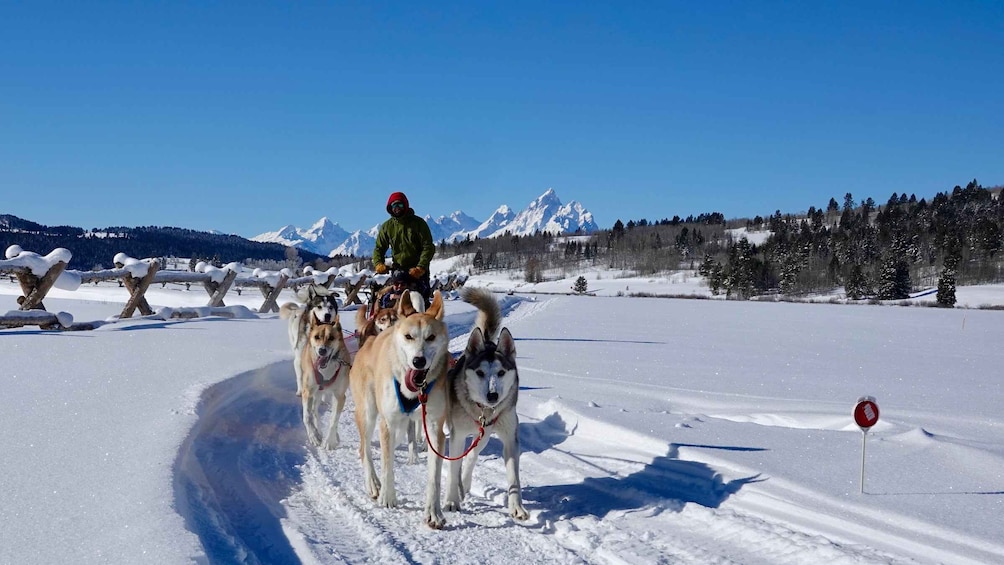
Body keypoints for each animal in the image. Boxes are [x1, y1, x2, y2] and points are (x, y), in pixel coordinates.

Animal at [293, 311, 353, 449]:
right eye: (316, 337)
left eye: (331, 338)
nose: (322, 350)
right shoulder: (307, 392)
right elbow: (307, 417)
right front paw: (313, 436)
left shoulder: (339, 396)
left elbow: (333, 419)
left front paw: (330, 440)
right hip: (315, 393)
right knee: (314, 411)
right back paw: (317, 431)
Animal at [351, 291, 449, 529]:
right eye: (408, 336)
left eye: (431, 337)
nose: (419, 360)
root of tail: (369, 341)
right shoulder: (387, 423)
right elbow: (387, 465)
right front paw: (387, 497)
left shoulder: (434, 427)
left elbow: (434, 475)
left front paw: (433, 512)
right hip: (368, 414)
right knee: (365, 449)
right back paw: (373, 484)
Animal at [445, 287, 530, 521]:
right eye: (480, 373)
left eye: (501, 372)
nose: (492, 396)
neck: (484, 410)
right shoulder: (457, 436)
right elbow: (452, 468)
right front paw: (451, 501)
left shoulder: (510, 439)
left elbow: (514, 479)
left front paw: (516, 506)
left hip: (483, 436)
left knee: (471, 456)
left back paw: (465, 484)